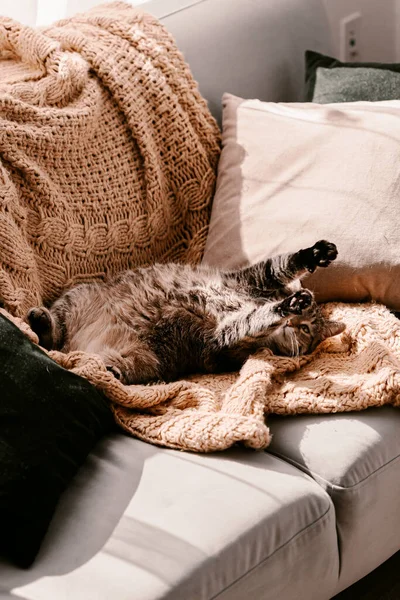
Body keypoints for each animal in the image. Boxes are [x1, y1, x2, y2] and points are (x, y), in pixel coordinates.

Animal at [25, 239, 344, 384]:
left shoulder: (225, 338)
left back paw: (105, 368)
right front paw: (315, 254)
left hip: (144, 360)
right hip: (77, 296)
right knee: (54, 333)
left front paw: (284, 307)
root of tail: (74, 348)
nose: (295, 322)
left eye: (306, 329)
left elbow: (255, 318)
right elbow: (283, 264)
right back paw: (40, 321)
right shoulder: (252, 278)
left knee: (68, 352)